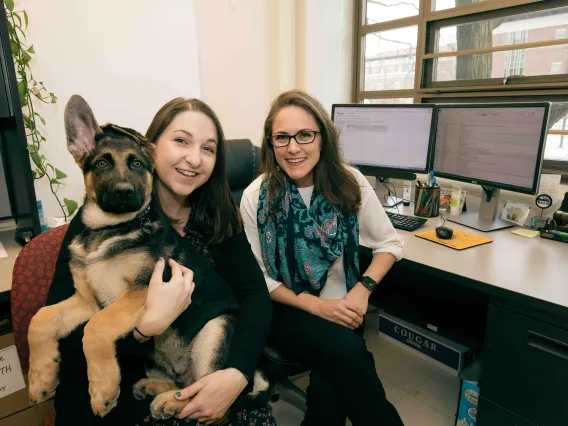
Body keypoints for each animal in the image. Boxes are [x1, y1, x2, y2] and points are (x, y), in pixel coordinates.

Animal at [27, 95, 272, 420]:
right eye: (102, 162)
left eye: (137, 164)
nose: (124, 191)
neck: (109, 228)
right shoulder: (86, 301)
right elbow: (40, 319)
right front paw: (41, 378)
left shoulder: (138, 291)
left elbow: (95, 328)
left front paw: (103, 391)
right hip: (160, 357)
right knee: (183, 384)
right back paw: (157, 390)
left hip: (214, 329)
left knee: (212, 400)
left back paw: (173, 402)